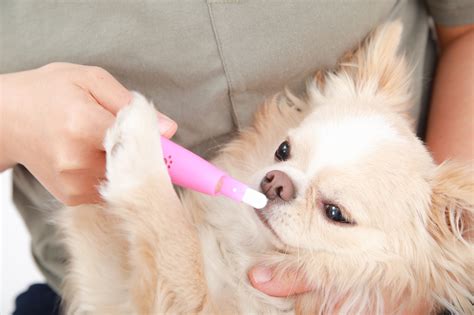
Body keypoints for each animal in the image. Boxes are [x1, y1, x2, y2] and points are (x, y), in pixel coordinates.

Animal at [57, 22, 472, 315]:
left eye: (335, 213)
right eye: (282, 150)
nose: (276, 182)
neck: (243, 248)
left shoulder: (190, 304)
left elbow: (179, 246)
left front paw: (140, 145)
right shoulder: (109, 288)